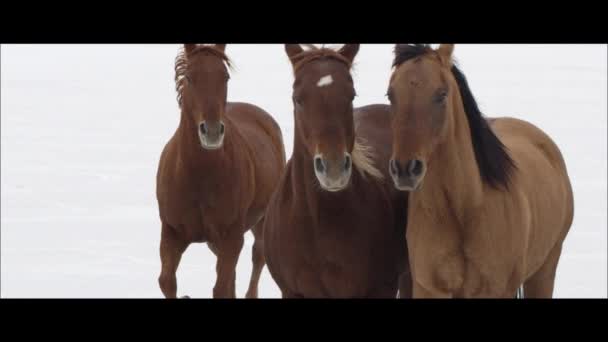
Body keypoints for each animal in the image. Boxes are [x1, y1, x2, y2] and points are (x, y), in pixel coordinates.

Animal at [153, 44, 284, 298]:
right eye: (190, 77)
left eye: (225, 76)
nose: (212, 132)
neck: (199, 176)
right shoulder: (171, 232)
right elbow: (166, 281)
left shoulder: (231, 236)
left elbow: (221, 287)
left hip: (260, 219)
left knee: (258, 255)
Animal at [388, 44, 572, 298]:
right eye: (391, 95)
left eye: (441, 94)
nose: (405, 168)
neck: (465, 210)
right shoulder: (428, 288)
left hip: (544, 270)